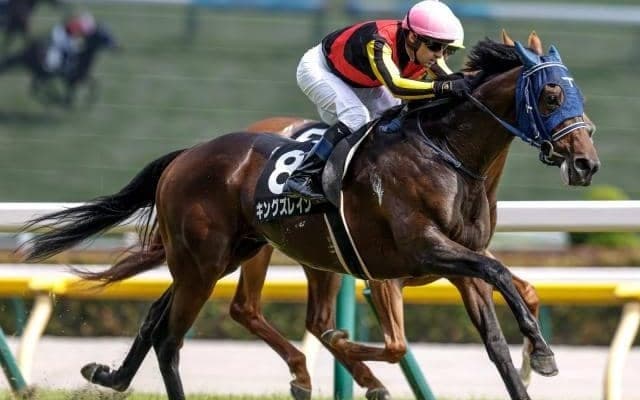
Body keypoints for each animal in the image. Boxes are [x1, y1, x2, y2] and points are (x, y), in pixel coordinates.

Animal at [22, 32, 599, 400]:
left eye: (577, 92)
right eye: (551, 94)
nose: (586, 162)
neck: (449, 155)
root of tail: (186, 155)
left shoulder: (458, 260)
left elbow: (497, 337)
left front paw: (531, 353)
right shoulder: (422, 250)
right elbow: (483, 286)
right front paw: (540, 350)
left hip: (223, 256)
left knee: (156, 317)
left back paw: (110, 375)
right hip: (205, 262)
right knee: (173, 338)